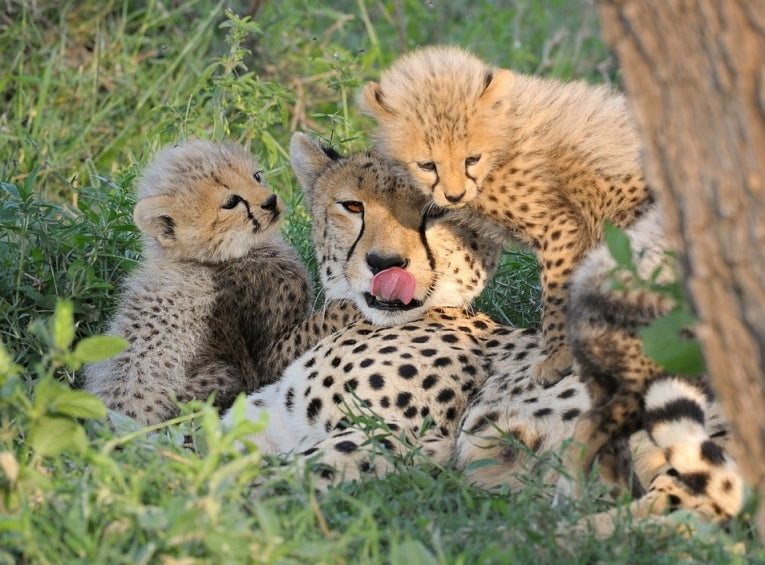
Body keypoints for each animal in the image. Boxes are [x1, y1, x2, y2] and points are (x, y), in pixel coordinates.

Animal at [83, 140, 313, 426]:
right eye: (231, 202)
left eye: (257, 176)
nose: (271, 201)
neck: (207, 261)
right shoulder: (271, 353)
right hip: (223, 376)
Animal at [359, 44, 653, 385]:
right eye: (427, 165)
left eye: (472, 158)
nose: (455, 195)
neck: (505, 136)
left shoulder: (559, 226)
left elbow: (556, 295)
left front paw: (558, 357)